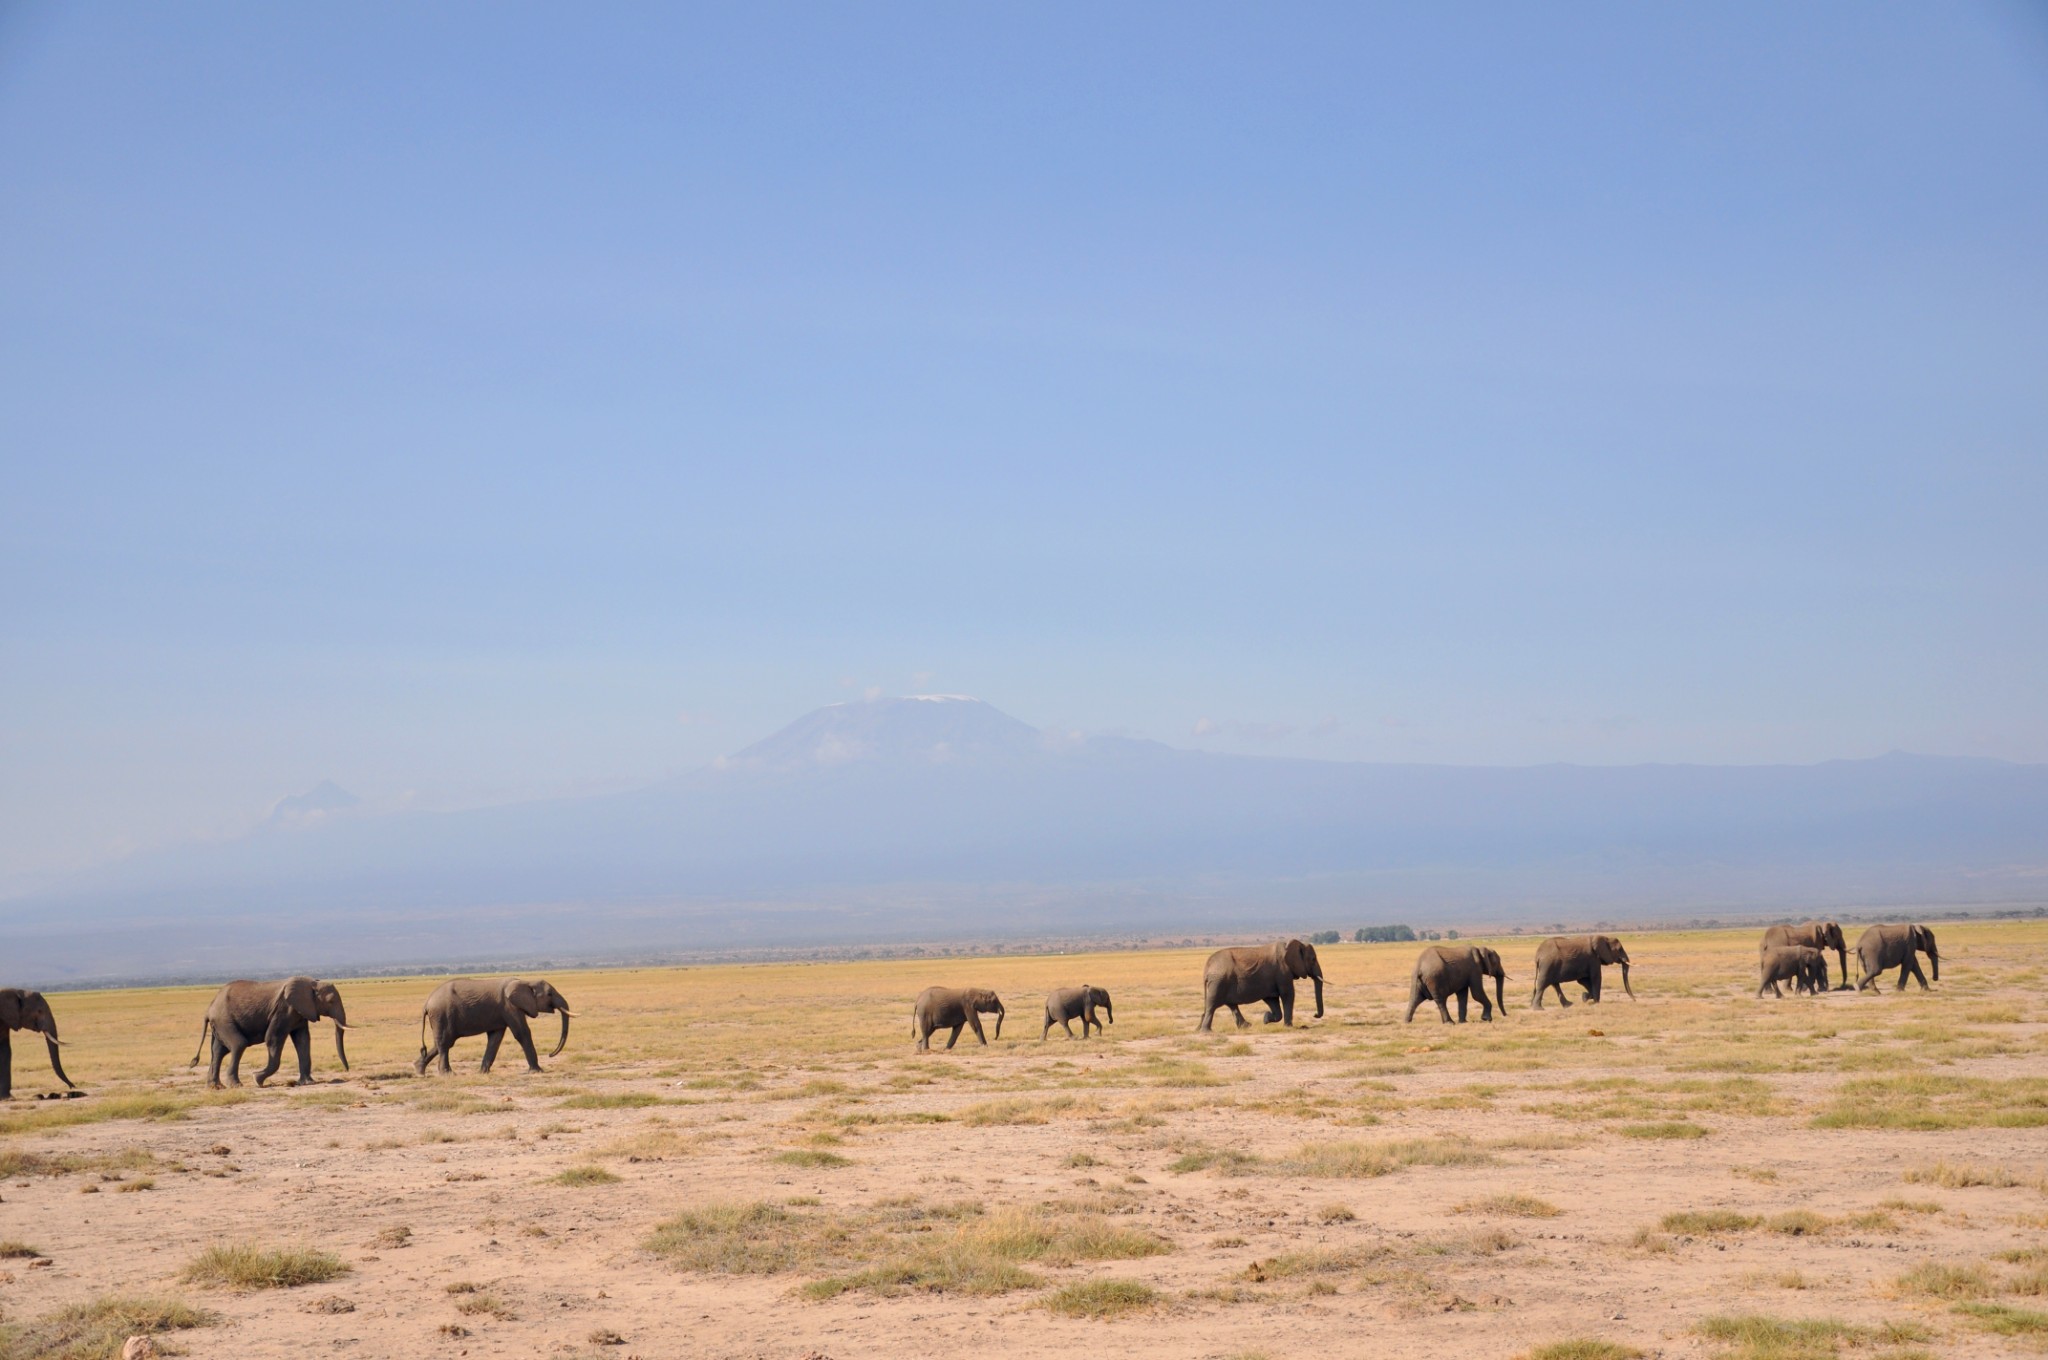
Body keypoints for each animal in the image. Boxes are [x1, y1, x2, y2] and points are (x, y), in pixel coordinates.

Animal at [190, 970, 350, 1089]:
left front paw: (308, 1083)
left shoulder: (300, 1012)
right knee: (238, 1044)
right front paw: (256, 1079)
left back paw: (215, 1087)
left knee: (218, 1051)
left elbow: (303, 1041)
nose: (347, 1070)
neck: (312, 983)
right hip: (224, 1020)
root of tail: (209, 1009)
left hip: (220, 1024)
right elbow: (273, 1039)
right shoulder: (283, 1010)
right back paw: (236, 1085)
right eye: (330, 1001)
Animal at [411, 979, 569, 1073]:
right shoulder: (510, 1007)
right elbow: (522, 1033)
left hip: (440, 1017)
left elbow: (495, 1038)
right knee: (445, 1043)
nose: (550, 1054)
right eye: (550, 994)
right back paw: (447, 1074)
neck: (526, 982)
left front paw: (483, 1072)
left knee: (443, 1042)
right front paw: (537, 1071)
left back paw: (419, 1070)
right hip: (441, 1014)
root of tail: (426, 1004)